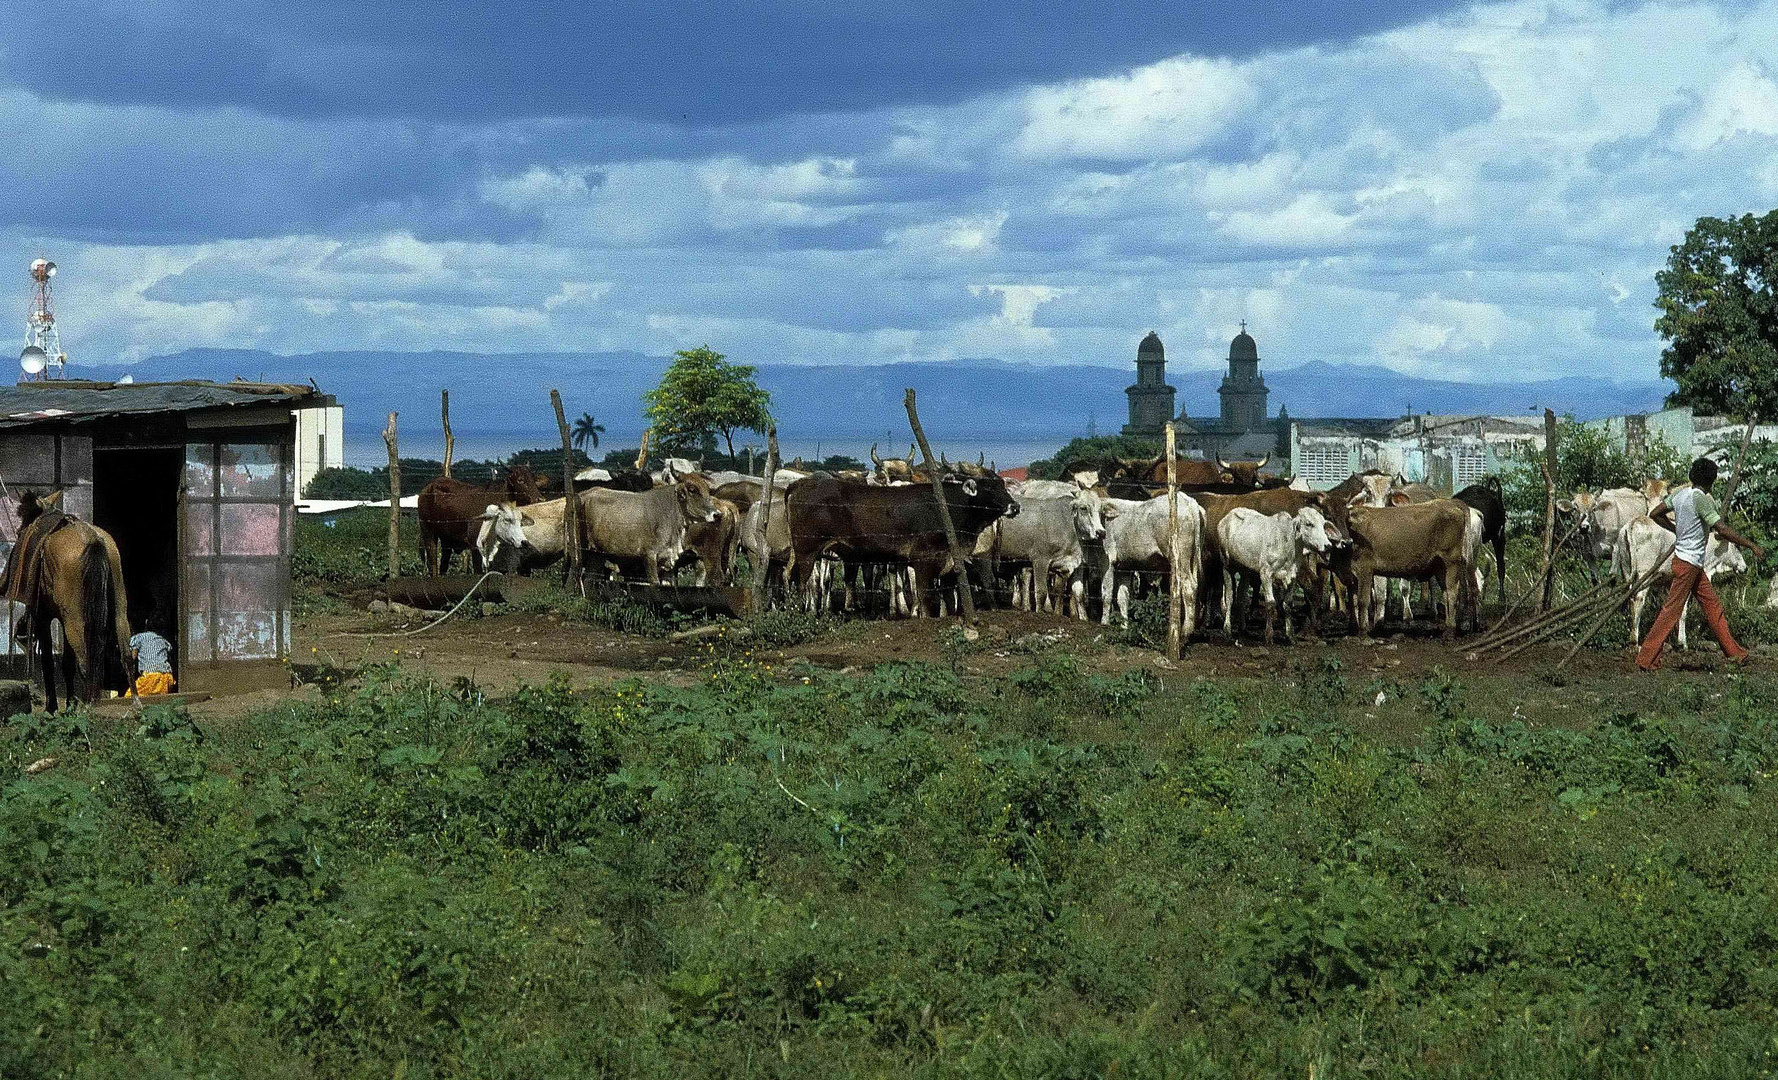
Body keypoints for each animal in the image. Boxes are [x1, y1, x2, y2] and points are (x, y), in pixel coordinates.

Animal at [3, 491, 136, 711]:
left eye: (26, 517)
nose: (20, 531)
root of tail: (92, 538)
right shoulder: (61, 618)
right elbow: (66, 663)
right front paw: (69, 706)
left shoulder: (44, 616)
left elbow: (48, 660)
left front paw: (52, 707)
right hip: (117, 609)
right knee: (126, 652)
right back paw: (135, 703)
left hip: (74, 619)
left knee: (84, 660)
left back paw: (87, 706)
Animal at [1223, 505, 1337, 647]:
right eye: (1308, 524)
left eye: (1323, 524)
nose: (1328, 546)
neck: (1288, 544)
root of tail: (1227, 516)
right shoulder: (1265, 574)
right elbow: (1270, 603)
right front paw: (1269, 637)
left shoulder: (1293, 575)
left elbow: (1287, 604)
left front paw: (1291, 636)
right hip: (1227, 565)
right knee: (1229, 596)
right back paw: (1227, 630)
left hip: (1245, 571)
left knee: (1241, 596)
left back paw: (1242, 629)